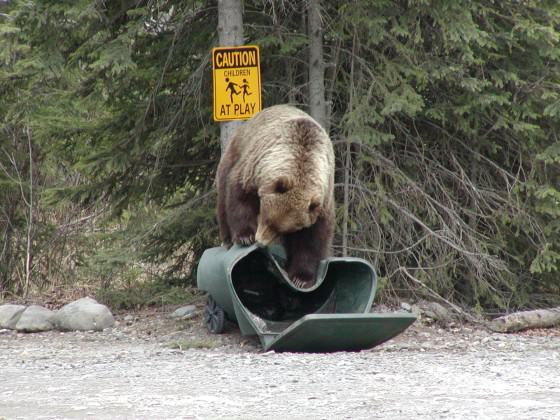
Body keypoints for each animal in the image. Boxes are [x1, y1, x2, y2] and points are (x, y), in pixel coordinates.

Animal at [218, 105, 332, 288]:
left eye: (281, 230)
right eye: (266, 219)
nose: (260, 241)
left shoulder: (321, 204)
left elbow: (311, 239)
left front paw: (301, 278)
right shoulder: (254, 169)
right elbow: (239, 196)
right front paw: (245, 236)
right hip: (233, 154)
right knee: (222, 200)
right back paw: (228, 240)